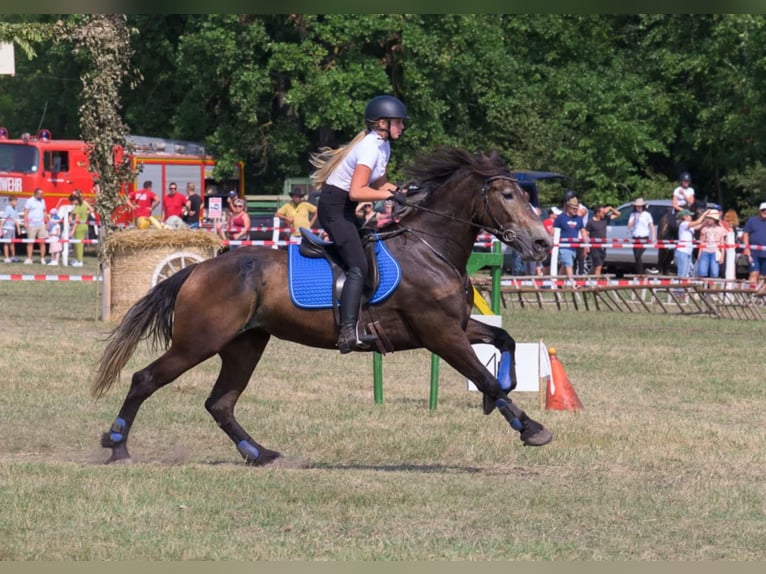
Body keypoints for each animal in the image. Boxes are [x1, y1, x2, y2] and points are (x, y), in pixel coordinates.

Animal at [92, 146, 555, 466]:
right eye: (507, 194)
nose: (541, 243)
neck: (430, 250)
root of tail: (197, 269)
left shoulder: (456, 326)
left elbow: (503, 340)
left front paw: (503, 394)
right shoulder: (440, 334)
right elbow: (486, 377)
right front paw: (530, 427)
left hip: (245, 344)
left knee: (220, 403)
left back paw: (259, 454)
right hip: (198, 343)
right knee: (145, 380)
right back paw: (116, 445)